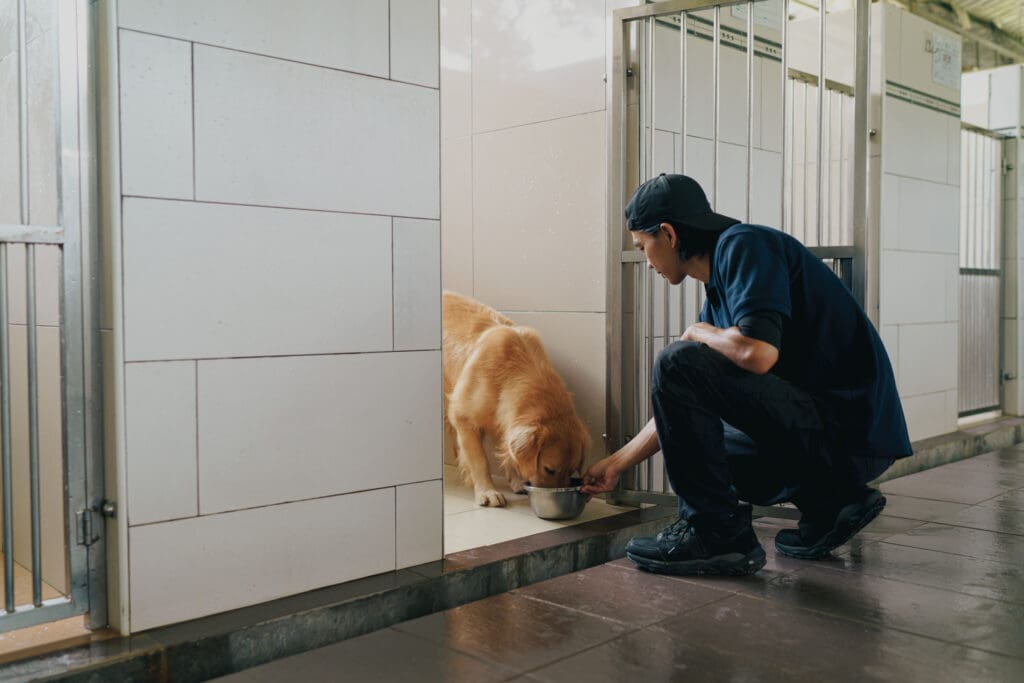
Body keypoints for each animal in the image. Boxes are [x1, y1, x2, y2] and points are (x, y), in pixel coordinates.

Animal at [442, 290, 593, 507]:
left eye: (571, 470)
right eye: (549, 469)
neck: (510, 371)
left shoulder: (504, 419)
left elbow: (508, 452)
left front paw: (516, 482)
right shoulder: (464, 417)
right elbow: (480, 460)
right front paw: (487, 491)